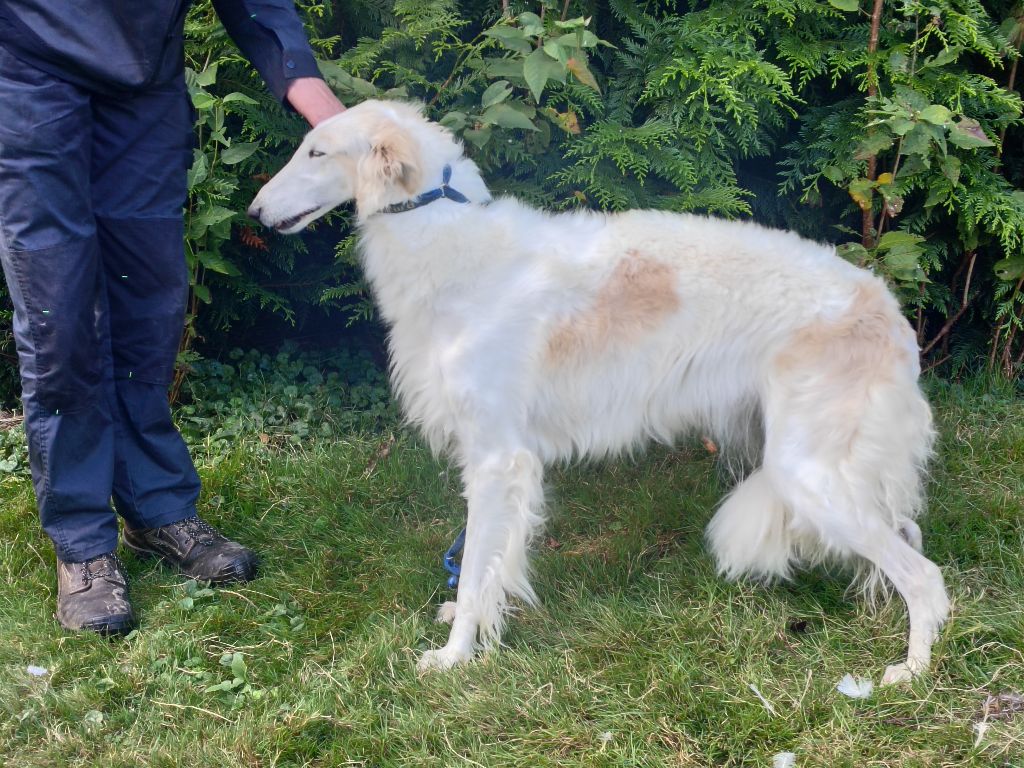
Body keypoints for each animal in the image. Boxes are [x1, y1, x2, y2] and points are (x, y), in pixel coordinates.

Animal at [249, 99, 950, 684]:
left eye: (316, 152)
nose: (254, 214)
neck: (458, 252)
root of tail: (886, 308)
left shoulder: (498, 459)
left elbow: (476, 570)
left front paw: (455, 657)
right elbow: (489, 566)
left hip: (808, 469)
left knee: (926, 576)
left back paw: (910, 672)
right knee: (910, 535)